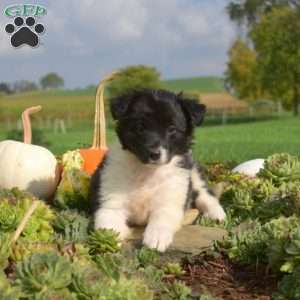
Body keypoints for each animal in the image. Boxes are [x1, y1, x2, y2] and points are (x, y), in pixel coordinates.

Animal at [89, 88, 225, 251]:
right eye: (140, 127)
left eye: (172, 129)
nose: (154, 154)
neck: (147, 171)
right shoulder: (110, 203)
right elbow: (108, 225)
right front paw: (108, 241)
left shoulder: (171, 199)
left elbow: (162, 217)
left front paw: (156, 238)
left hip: (193, 172)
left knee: (205, 193)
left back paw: (217, 214)